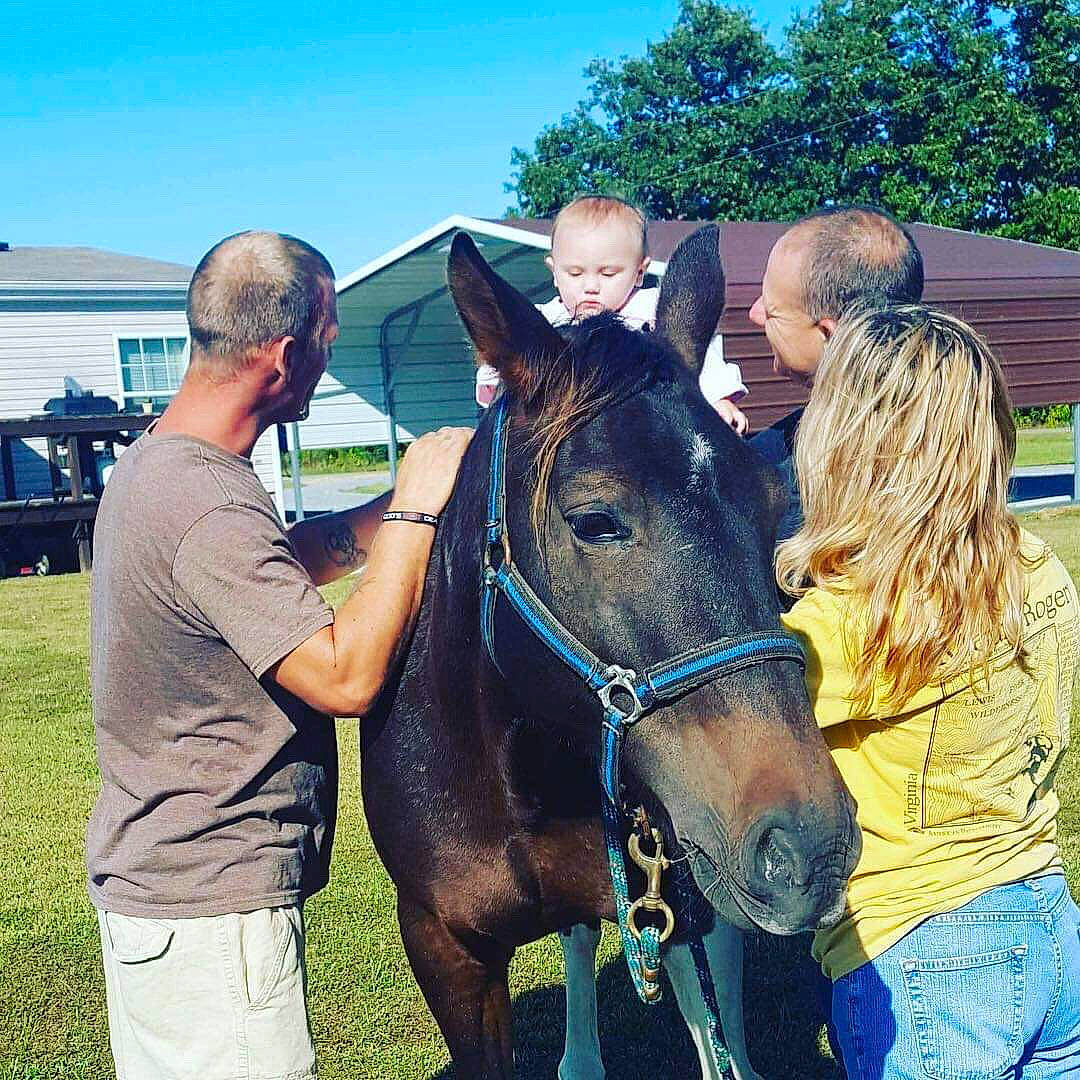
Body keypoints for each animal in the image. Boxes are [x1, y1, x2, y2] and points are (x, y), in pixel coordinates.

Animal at [360, 225, 860, 1079]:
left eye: (771, 506)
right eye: (595, 520)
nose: (812, 846)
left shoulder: (683, 902)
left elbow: (714, 1027)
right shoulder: (445, 946)